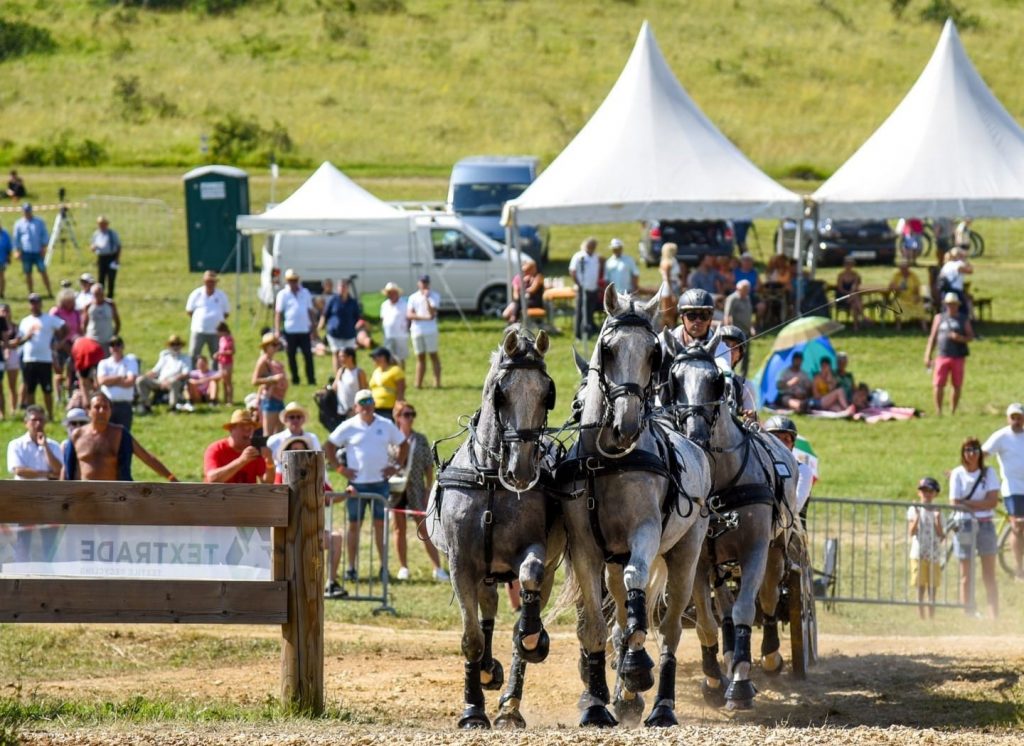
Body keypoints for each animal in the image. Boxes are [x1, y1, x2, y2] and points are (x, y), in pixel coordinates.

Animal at [425, 325, 565, 728]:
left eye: (547, 394)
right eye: (500, 393)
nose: (521, 470)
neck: (491, 481)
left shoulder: (535, 551)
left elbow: (529, 580)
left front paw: (532, 638)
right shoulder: (461, 563)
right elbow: (471, 637)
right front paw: (472, 708)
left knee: (522, 619)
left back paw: (511, 705)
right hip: (483, 572)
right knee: (486, 612)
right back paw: (488, 672)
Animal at [663, 335, 798, 708]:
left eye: (716, 381)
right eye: (673, 380)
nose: (695, 432)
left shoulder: (755, 549)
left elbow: (745, 611)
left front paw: (740, 682)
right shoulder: (695, 559)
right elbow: (707, 621)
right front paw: (713, 676)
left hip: (776, 549)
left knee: (767, 598)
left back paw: (769, 655)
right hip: (718, 562)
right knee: (723, 605)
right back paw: (727, 655)